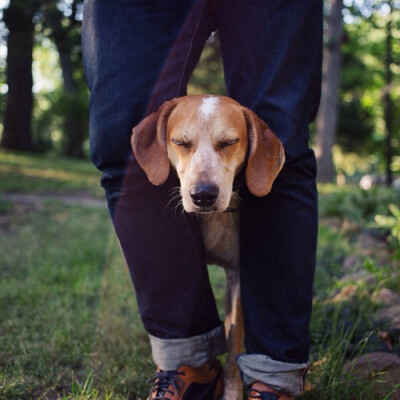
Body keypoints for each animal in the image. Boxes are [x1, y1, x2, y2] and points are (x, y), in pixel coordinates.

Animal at [131, 96, 284, 400]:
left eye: (229, 142)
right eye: (180, 142)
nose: (203, 195)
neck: (212, 221)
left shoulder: (237, 277)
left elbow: (234, 340)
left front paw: (231, 391)